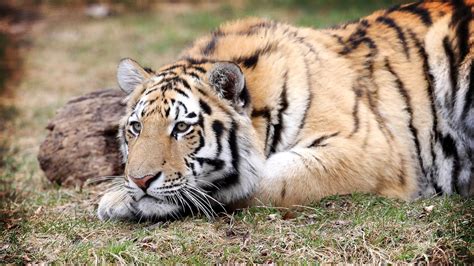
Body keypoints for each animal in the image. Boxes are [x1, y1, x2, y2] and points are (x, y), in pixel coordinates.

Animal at [97, 0, 474, 220]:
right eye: (136, 128)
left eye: (181, 128)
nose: (141, 180)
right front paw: (118, 196)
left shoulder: (370, 150)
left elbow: (272, 178)